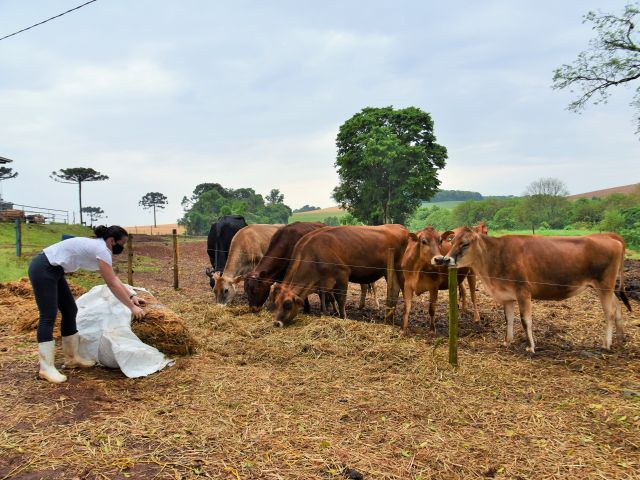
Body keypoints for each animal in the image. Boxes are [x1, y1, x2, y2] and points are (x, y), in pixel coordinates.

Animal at [272, 225, 408, 326]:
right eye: (276, 302)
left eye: (288, 304)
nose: (276, 323)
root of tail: (399, 227)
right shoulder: (323, 283)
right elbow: (326, 298)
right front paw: (325, 313)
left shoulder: (342, 274)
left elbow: (340, 299)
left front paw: (343, 316)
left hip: (395, 270)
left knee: (397, 290)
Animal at [432, 229, 632, 352]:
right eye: (452, 241)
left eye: (465, 243)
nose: (446, 259)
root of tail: (609, 236)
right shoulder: (507, 296)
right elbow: (509, 319)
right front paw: (507, 341)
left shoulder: (523, 292)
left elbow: (524, 320)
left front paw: (531, 347)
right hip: (607, 288)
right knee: (617, 307)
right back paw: (621, 338)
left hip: (604, 285)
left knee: (609, 313)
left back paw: (606, 344)